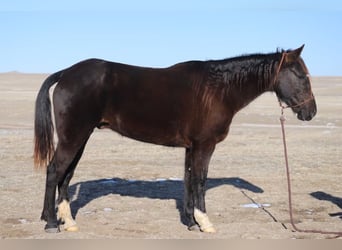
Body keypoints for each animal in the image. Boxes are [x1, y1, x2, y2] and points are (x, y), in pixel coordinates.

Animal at [33, 44, 316, 232]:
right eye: (301, 75)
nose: (311, 112)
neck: (218, 89)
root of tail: (66, 73)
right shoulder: (204, 146)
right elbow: (200, 180)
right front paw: (205, 222)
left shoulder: (191, 147)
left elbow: (189, 180)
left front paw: (190, 221)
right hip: (73, 137)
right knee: (54, 171)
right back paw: (51, 222)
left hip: (80, 137)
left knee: (66, 174)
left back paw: (67, 221)